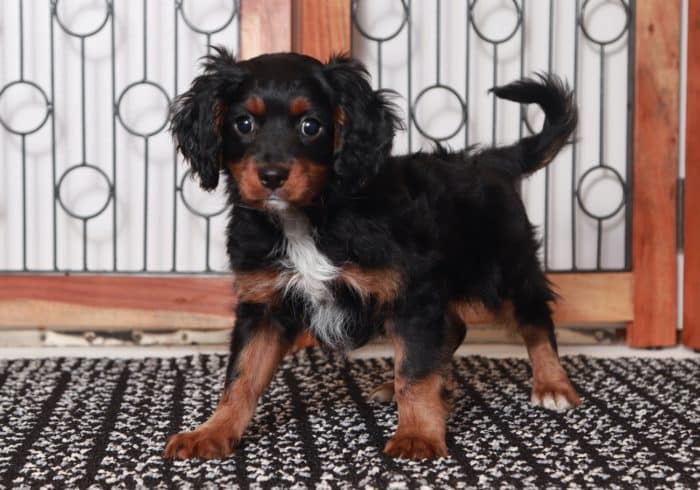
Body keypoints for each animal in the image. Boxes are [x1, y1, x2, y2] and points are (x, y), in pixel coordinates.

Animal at [163, 47, 580, 462]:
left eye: (311, 126)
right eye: (243, 123)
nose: (272, 176)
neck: (307, 219)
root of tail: (492, 160)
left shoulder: (412, 294)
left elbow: (414, 370)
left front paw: (417, 435)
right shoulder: (263, 304)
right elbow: (241, 375)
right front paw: (212, 432)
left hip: (506, 268)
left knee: (534, 317)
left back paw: (552, 385)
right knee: (455, 328)